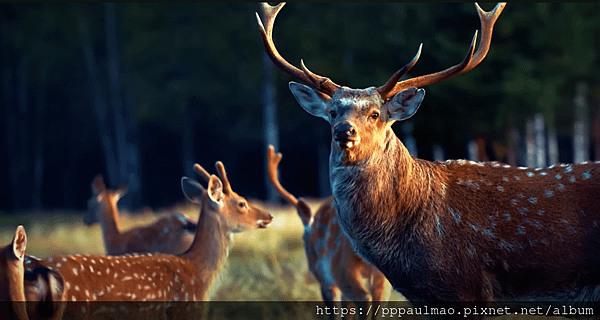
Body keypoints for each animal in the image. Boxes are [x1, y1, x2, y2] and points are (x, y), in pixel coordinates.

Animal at [268, 146, 392, 318]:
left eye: (302, 238)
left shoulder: (324, 280)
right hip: (383, 275)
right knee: (378, 300)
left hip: (340, 267)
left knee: (363, 296)